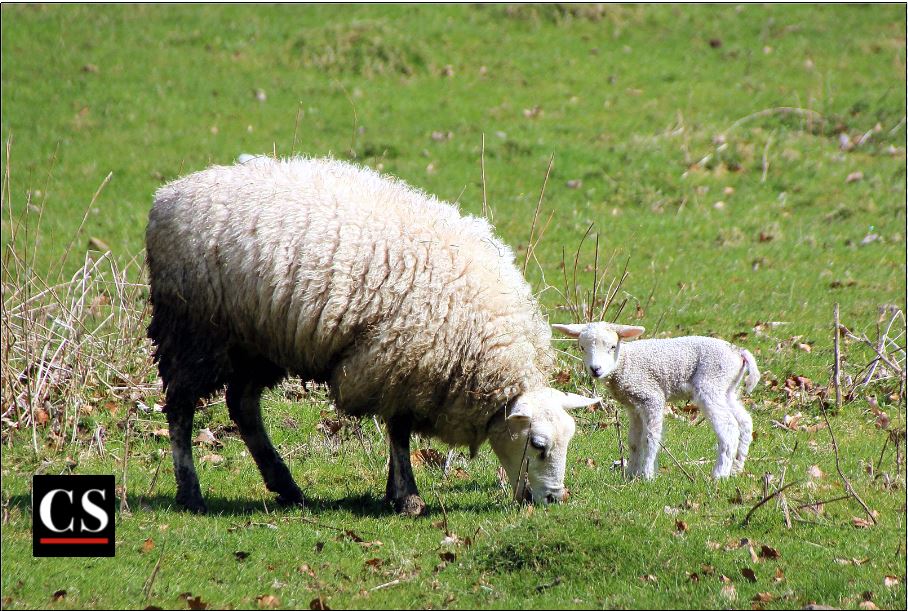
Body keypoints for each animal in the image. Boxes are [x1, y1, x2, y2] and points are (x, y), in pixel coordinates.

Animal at [146, 156, 600, 516]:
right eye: (538, 444)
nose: (554, 499)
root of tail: (168, 194)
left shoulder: (403, 369)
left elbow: (397, 431)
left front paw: (392, 491)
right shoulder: (399, 361)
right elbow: (398, 431)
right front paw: (407, 497)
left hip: (257, 340)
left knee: (242, 405)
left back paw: (286, 486)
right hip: (194, 330)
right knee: (181, 408)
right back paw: (190, 493)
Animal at [552, 322, 760, 479]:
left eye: (612, 347)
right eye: (582, 347)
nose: (595, 369)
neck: (625, 363)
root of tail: (738, 352)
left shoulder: (651, 397)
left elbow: (650, 438)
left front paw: (647, 475)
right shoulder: (633, 406)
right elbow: (633, 441)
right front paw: (631, 474)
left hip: (711, 383)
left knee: (728, 427)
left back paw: (719, 474)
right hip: (727, 388)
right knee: (745, 421)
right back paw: (736, 468)